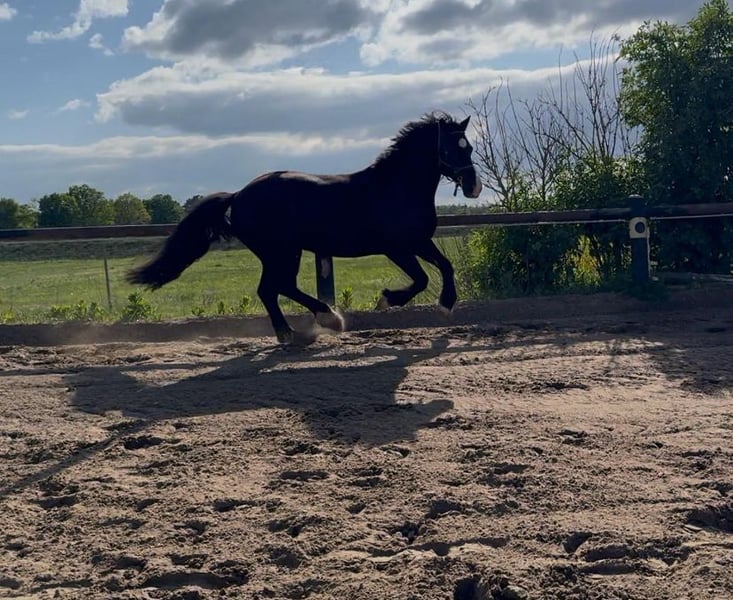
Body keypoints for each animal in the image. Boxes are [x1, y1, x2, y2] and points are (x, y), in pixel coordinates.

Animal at [127, 111, 483, 344]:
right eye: (450, 148)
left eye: (469, 147)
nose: (473, 187)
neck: (394, 188)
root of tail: (239, 194)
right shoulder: (396, 247)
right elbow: (421, 279)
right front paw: (387, 300)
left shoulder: (419, 241)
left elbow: (445, 267)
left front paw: (446, 305)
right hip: (279, 251)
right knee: (272, 289)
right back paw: (310, 326)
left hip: (286, 251)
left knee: (276, 288)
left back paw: (310, 325)